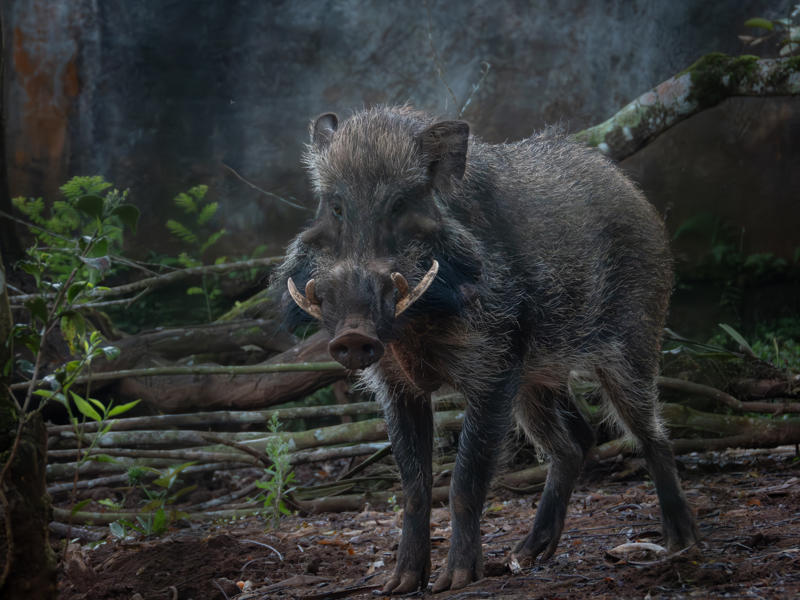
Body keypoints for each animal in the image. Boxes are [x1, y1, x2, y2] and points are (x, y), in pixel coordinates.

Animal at [274, 105, 698, 593]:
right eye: (336, 207)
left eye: (401, 205)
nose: (352, 336)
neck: (414, 330)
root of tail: (632, 191)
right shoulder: (397, 385)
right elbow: (414, 486)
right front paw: (399, 585)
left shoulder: (492, 371)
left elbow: (465, 480)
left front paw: (455, 580)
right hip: (538, 379)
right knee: (576, 441)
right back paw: (526, 555)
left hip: (633, 341)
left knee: (651, 433)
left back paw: (681, 543)